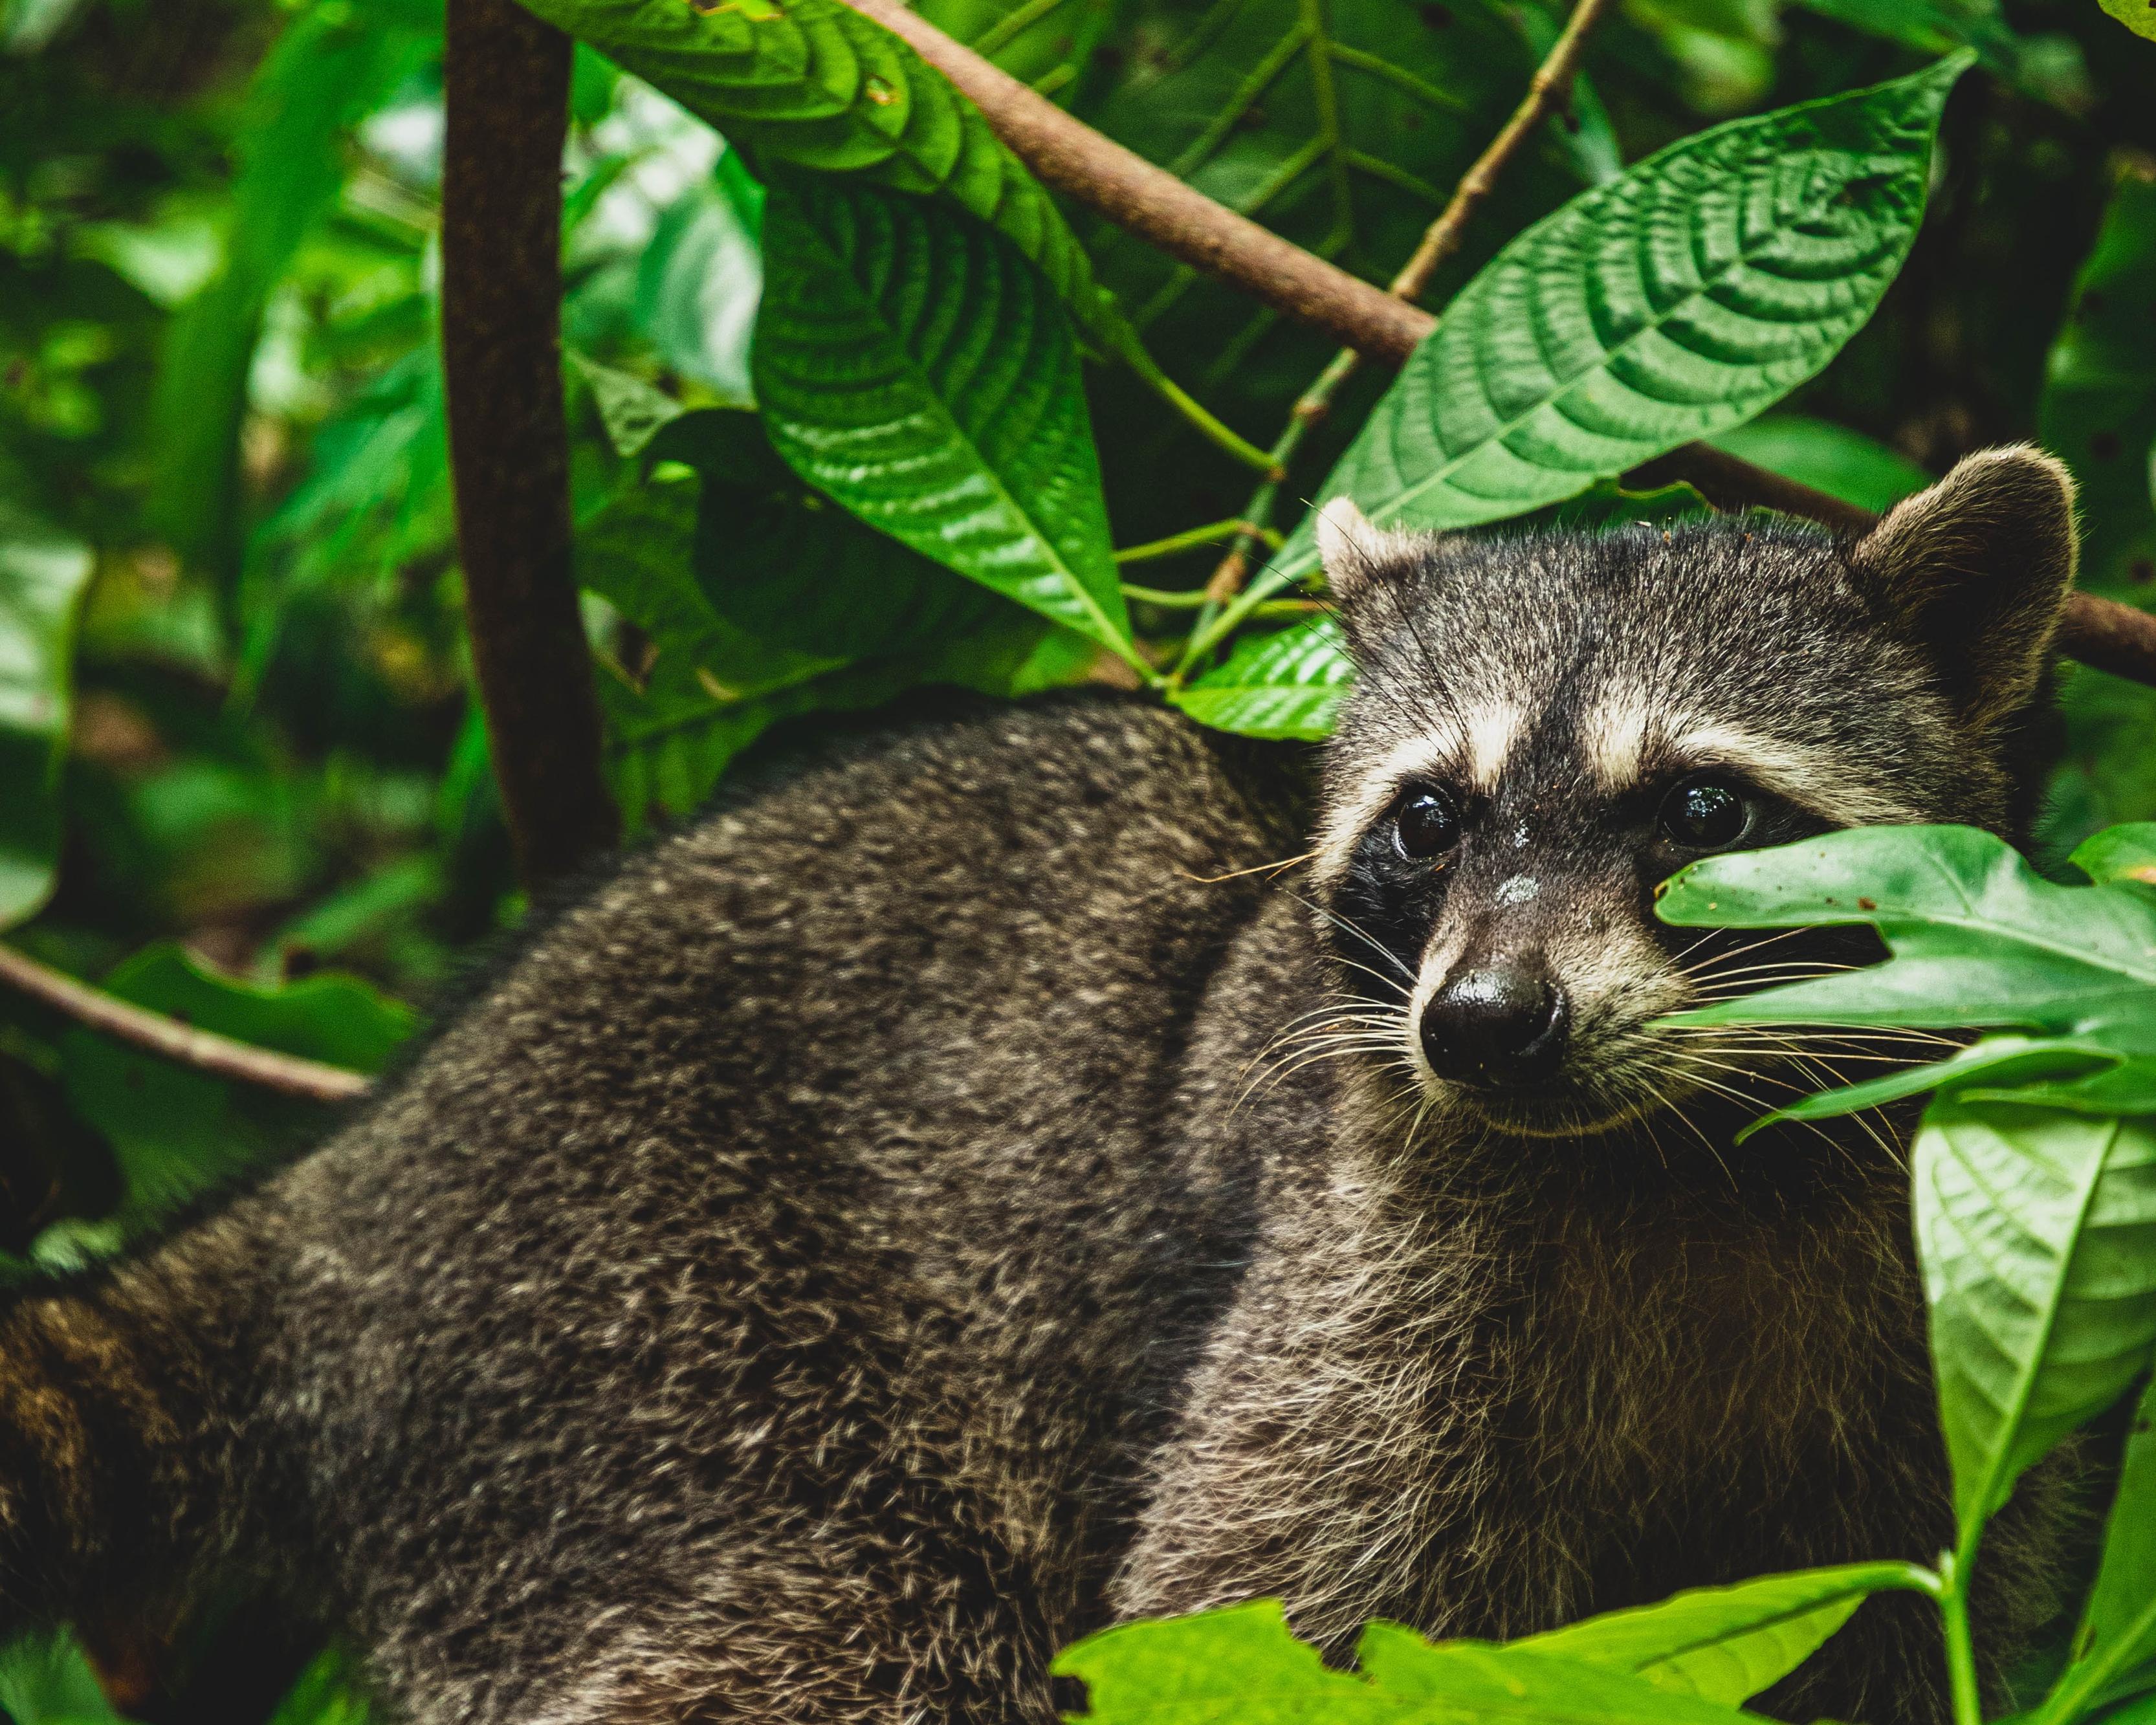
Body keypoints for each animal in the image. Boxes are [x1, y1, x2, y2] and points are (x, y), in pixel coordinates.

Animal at [4, 448, 2087, 1725]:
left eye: (1705, 813)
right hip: (628, 1345)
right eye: (1429, 824)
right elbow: (1252, 1614)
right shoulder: (1353, 1293)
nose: (1484, 1025)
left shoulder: (1958, 1345)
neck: (1682, 1148)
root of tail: (358, 1175)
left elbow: (1940, 1623)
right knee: (843, 1629)